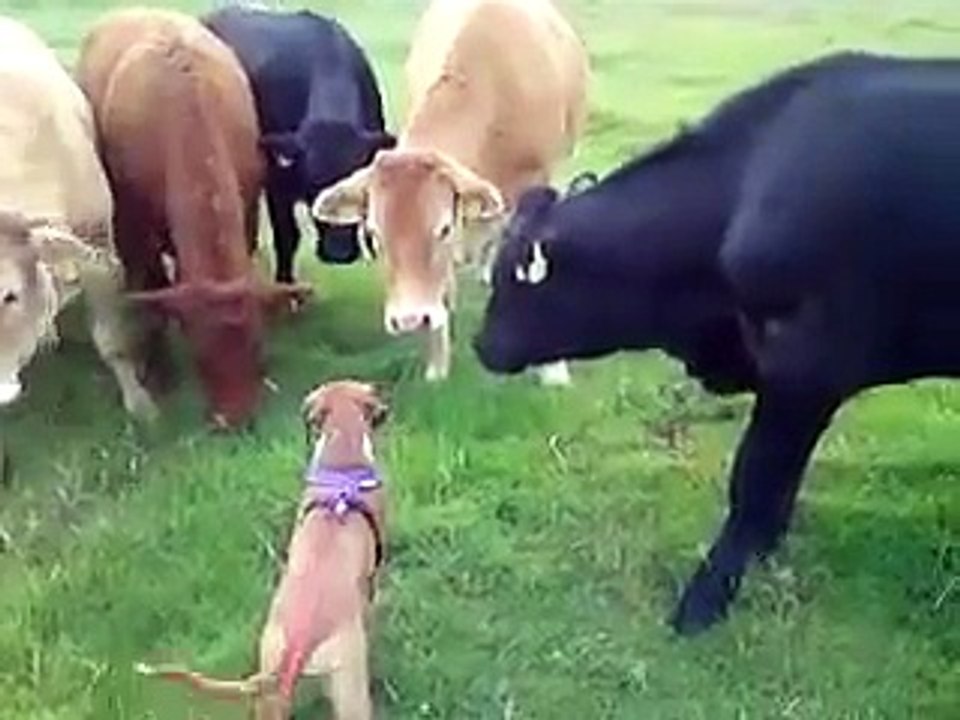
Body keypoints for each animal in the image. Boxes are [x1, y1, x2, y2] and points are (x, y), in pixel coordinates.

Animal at [76, 8, 309, 429]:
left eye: (257, 345)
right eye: (200, 354)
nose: (234, 421)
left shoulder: (247, 209)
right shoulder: (134, 229)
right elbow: (153, 291)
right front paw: (162, 367)